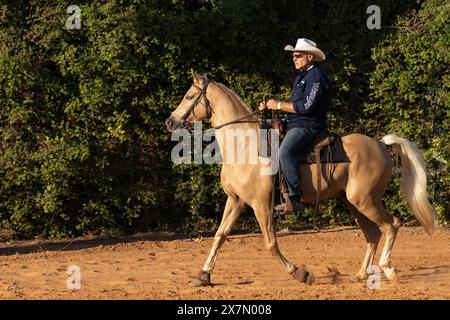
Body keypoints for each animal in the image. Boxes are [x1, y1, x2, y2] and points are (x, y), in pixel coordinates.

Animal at [165, 70, 436, 284]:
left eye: (189, 96)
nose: (170, 122)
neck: (245, 146)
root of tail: (380, 144)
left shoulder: (261, 205)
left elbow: (270, 244)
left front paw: (299, 273)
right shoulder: (236, 201)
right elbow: (219, 236)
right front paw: (204, 275)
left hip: (366, 201)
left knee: (392, 225)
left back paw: (388, 269)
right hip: (355, 204)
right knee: (373, 234)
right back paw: (360, 275)